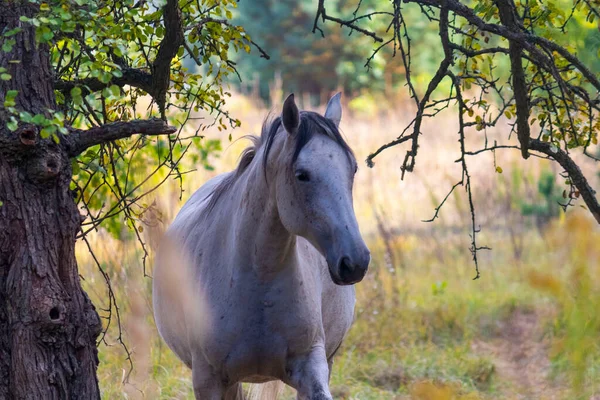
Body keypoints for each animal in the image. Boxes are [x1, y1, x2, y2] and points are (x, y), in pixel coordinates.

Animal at [151, 94, 370, 400]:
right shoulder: (208, 379)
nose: (355, 262)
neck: (258, 276)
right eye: (302, 175)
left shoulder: (312, 367)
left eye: (353, 169)